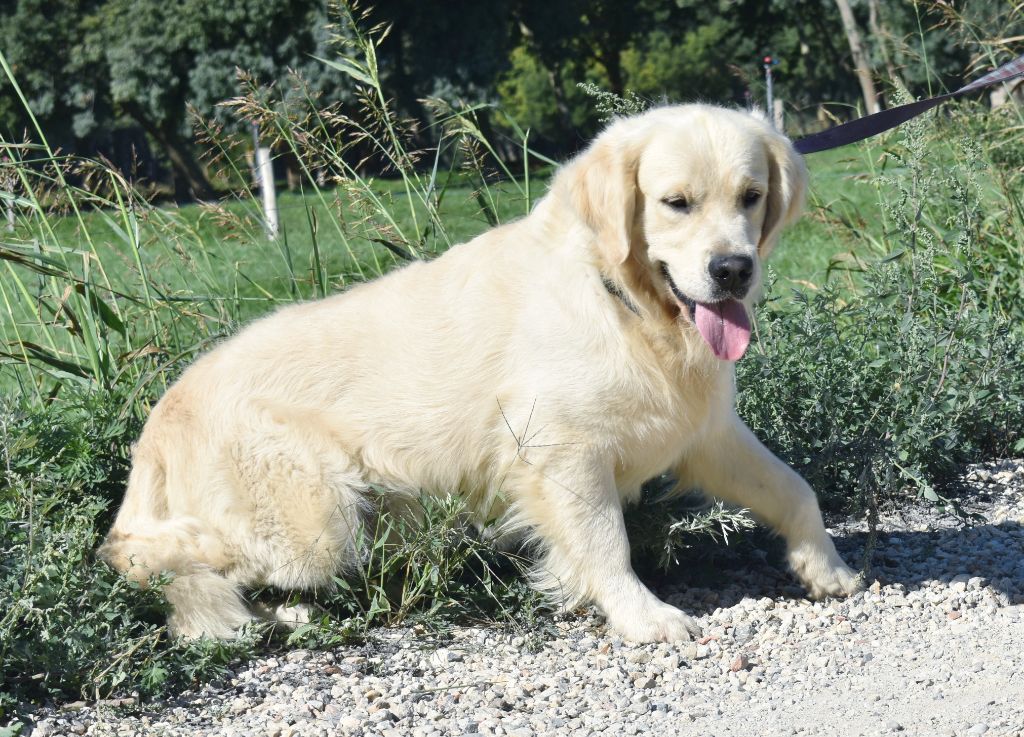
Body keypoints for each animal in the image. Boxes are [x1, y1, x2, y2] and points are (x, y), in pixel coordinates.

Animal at [99, 104, 860, 646]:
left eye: (751, 196)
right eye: (676, 202)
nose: (733, 270)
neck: (624, 301)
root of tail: (161, 418)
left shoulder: (706, 432)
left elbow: (795, 489)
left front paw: (826, 567)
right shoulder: (561, 454)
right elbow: (605, 545)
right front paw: (644, 616)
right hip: (317, 521)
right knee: (144, 554)